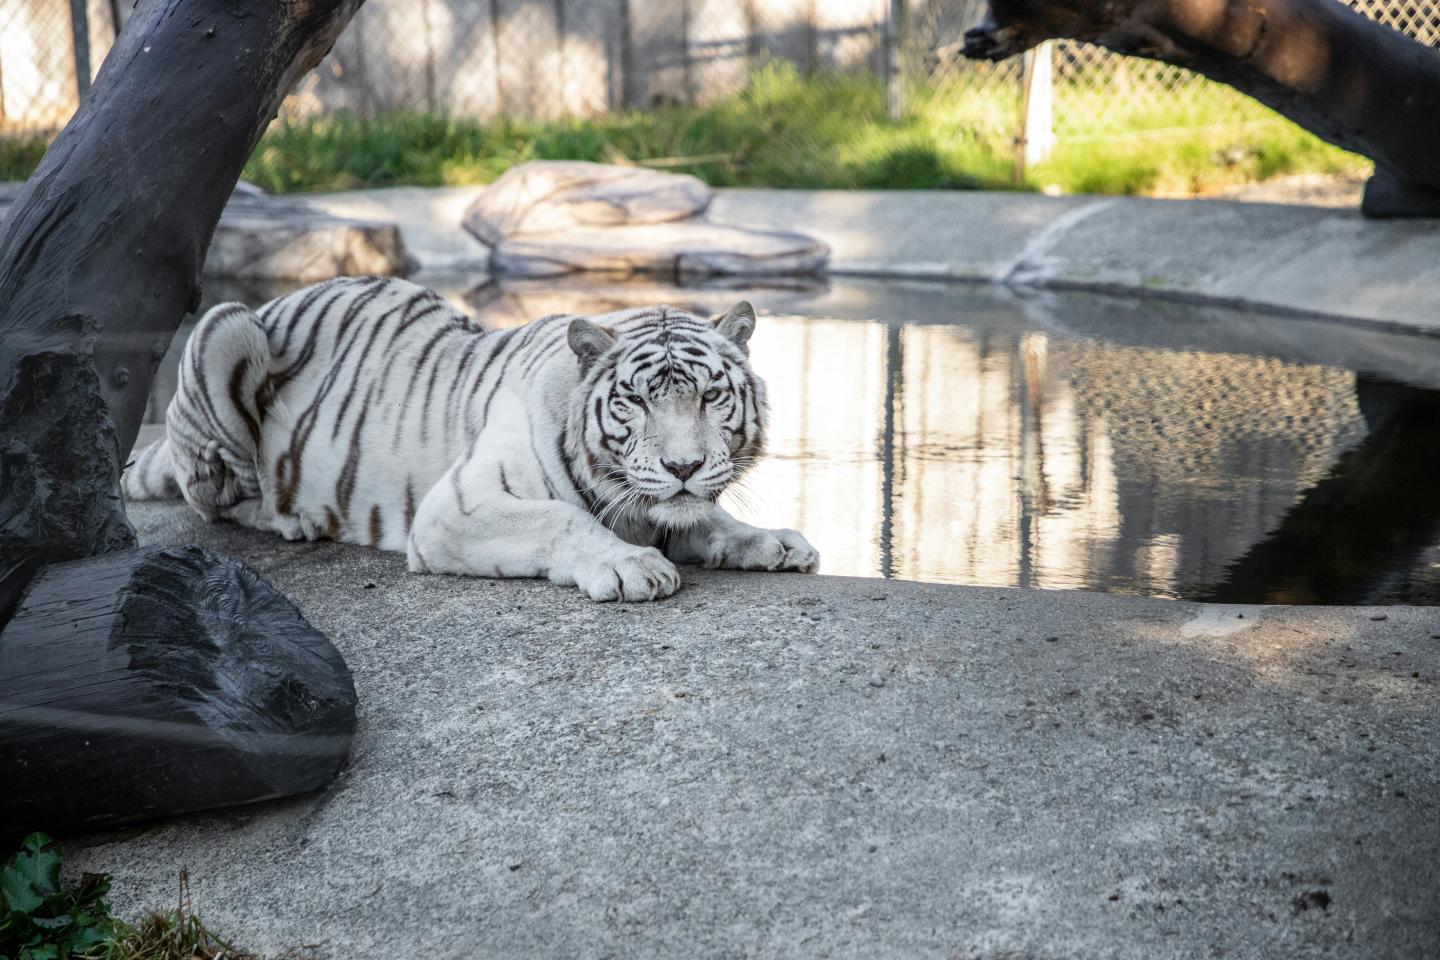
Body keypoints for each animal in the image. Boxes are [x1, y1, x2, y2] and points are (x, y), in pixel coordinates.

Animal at [123, 276, 819, 601]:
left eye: (709, 396)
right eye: (638, 400)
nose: (682, 465)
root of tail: (273, 303)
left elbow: (708, 517)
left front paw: (773, 542)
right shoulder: (456, 507)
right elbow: (561, 520)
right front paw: (633, 566)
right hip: (224, 325)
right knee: (216, 496)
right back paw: (293, 518)